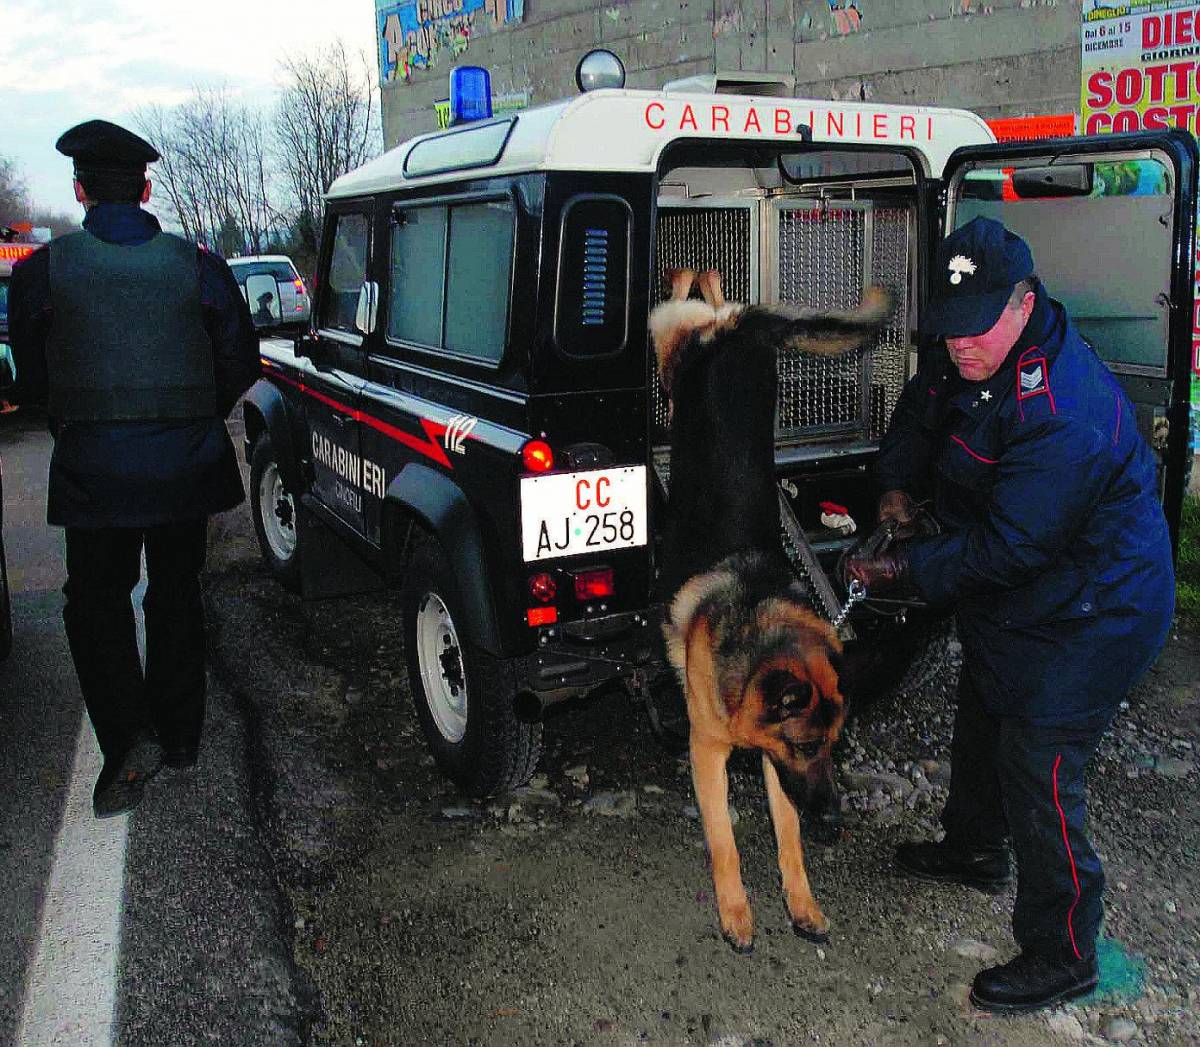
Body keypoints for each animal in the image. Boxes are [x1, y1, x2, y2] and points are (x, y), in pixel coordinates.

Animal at [648, 267, 892, 950]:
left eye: (835, 745)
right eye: (810, 744)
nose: (834, 819)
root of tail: (742, 330)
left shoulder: (775, 766)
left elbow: (789, 838)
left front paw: (801, 904)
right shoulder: (709, 752)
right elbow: (725, 842)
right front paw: (736, 913)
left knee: (708, 293)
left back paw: (708, 284)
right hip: (670, 347)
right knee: (683, 300)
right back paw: (686, 278)